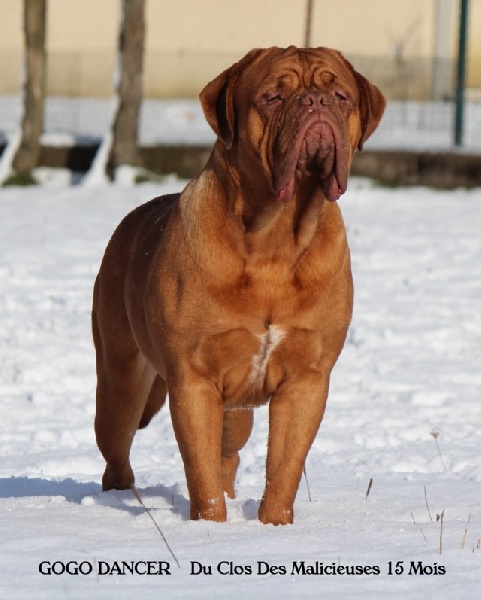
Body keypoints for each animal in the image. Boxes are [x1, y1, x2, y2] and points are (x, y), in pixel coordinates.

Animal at [93, 47, 386, 524]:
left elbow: (284, 467)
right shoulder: (193, 380)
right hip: (120, 384)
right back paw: (119, 500)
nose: (315, 103)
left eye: (341, 96)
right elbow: (201, 472)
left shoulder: (306, 380)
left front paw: (273, 525)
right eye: (272, 97)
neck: (275, 240)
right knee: (117, 449)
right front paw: (210, 526)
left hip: (234, 411)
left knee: (228, 453)